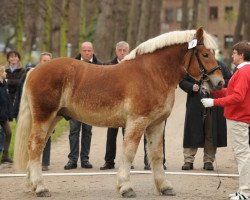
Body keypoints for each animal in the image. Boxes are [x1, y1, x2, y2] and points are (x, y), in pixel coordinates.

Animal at [13, 27, 225, 198]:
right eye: (205, 54)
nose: (220, 82)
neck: (152, 73)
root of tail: (34, 70)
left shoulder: (157, 124)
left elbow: (156, 155)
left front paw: (164, 187)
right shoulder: (137, 122)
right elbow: (128, 153)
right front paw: (126, 187)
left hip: (53, 119)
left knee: (38, 148)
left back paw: (32, 185)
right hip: (44, 117)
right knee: (35, 147)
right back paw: (40, 188)